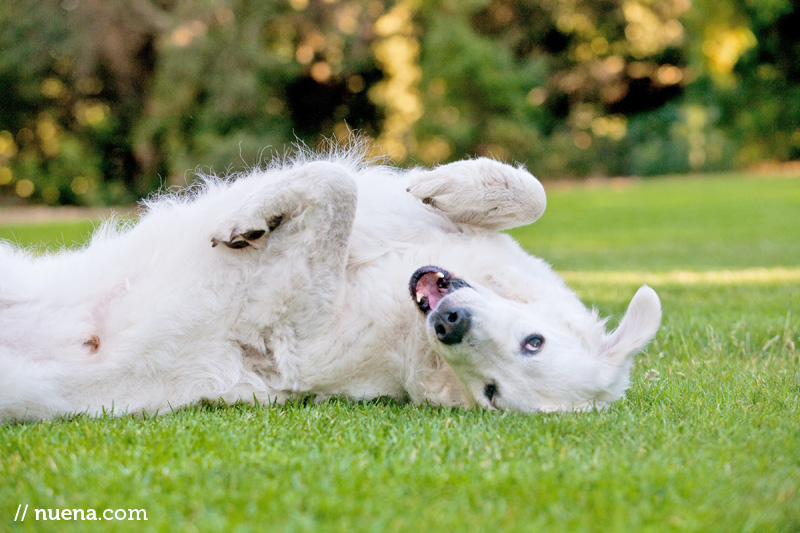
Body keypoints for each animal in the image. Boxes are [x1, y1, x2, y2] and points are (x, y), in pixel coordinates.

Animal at [0, 147, 664, 420]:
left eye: (492, 393)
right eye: (535, 341)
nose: (449, 323)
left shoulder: (293, 329)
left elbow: (335, 188)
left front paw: (246, 221)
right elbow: (534, 193)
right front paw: (447, 185)